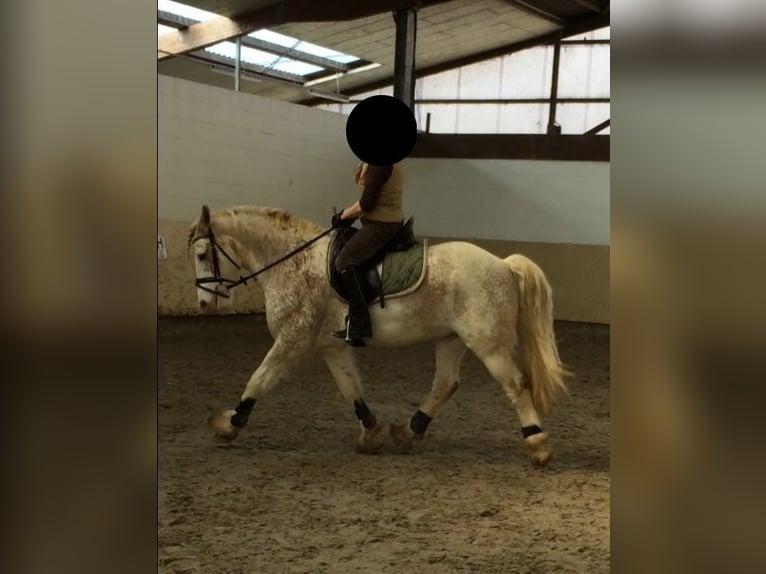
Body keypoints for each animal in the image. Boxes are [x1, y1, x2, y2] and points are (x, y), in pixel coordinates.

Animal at [189, 207, 568, 468]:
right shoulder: (330, 346)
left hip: (487, 344)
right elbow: (350, 388)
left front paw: (228, 424)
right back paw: (408, 431)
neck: (294, 262)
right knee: (445, 384)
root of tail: (504, 264)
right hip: (452, 339)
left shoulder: (291, 340)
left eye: (202, 254)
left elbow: (258, 380)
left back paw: (538, 447)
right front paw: (370, 434)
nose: (205, 304)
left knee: (515, 385)